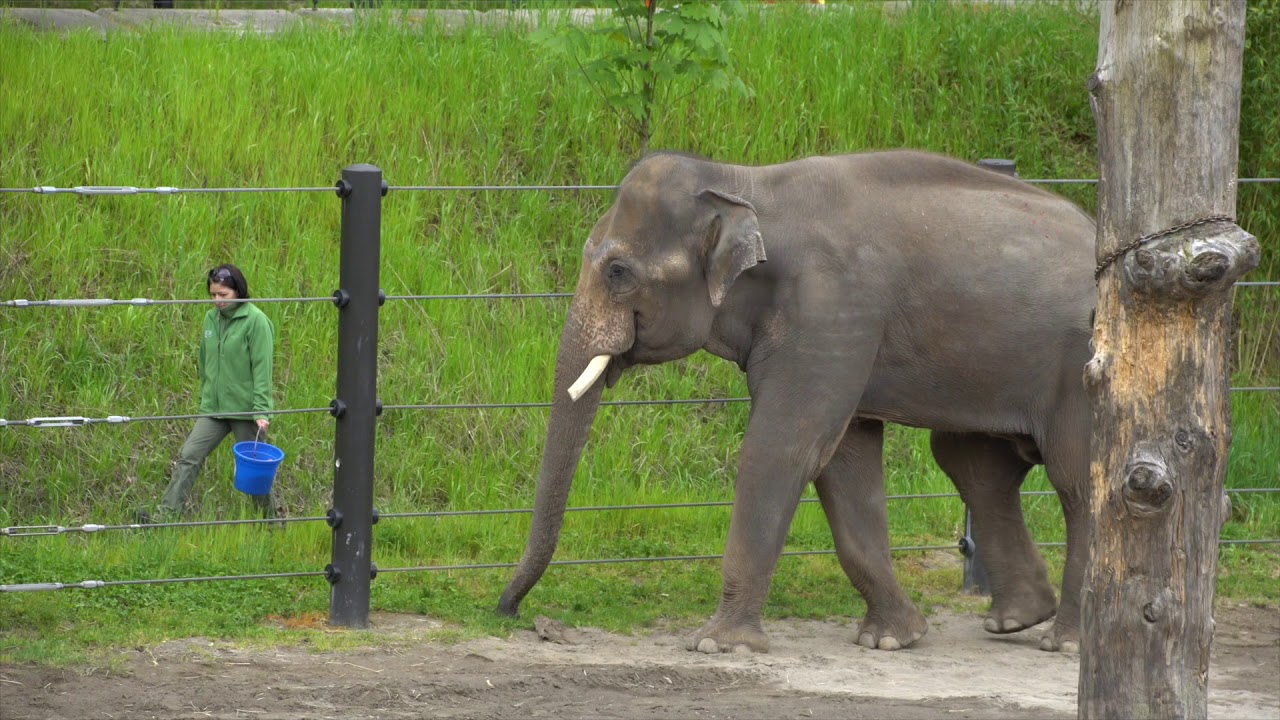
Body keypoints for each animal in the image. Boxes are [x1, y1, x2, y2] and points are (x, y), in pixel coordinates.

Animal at [496, 149, 1095, 654]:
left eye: (618, 272)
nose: (509, 610)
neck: (745, 182)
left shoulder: (831, 308)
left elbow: (783, 448)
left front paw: (719, 646)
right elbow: (843, 461)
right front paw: (890, 640)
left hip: (1081, 368)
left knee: (1075, 479)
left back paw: (1065, 643)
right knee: (971, 462)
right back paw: (1016, 619)